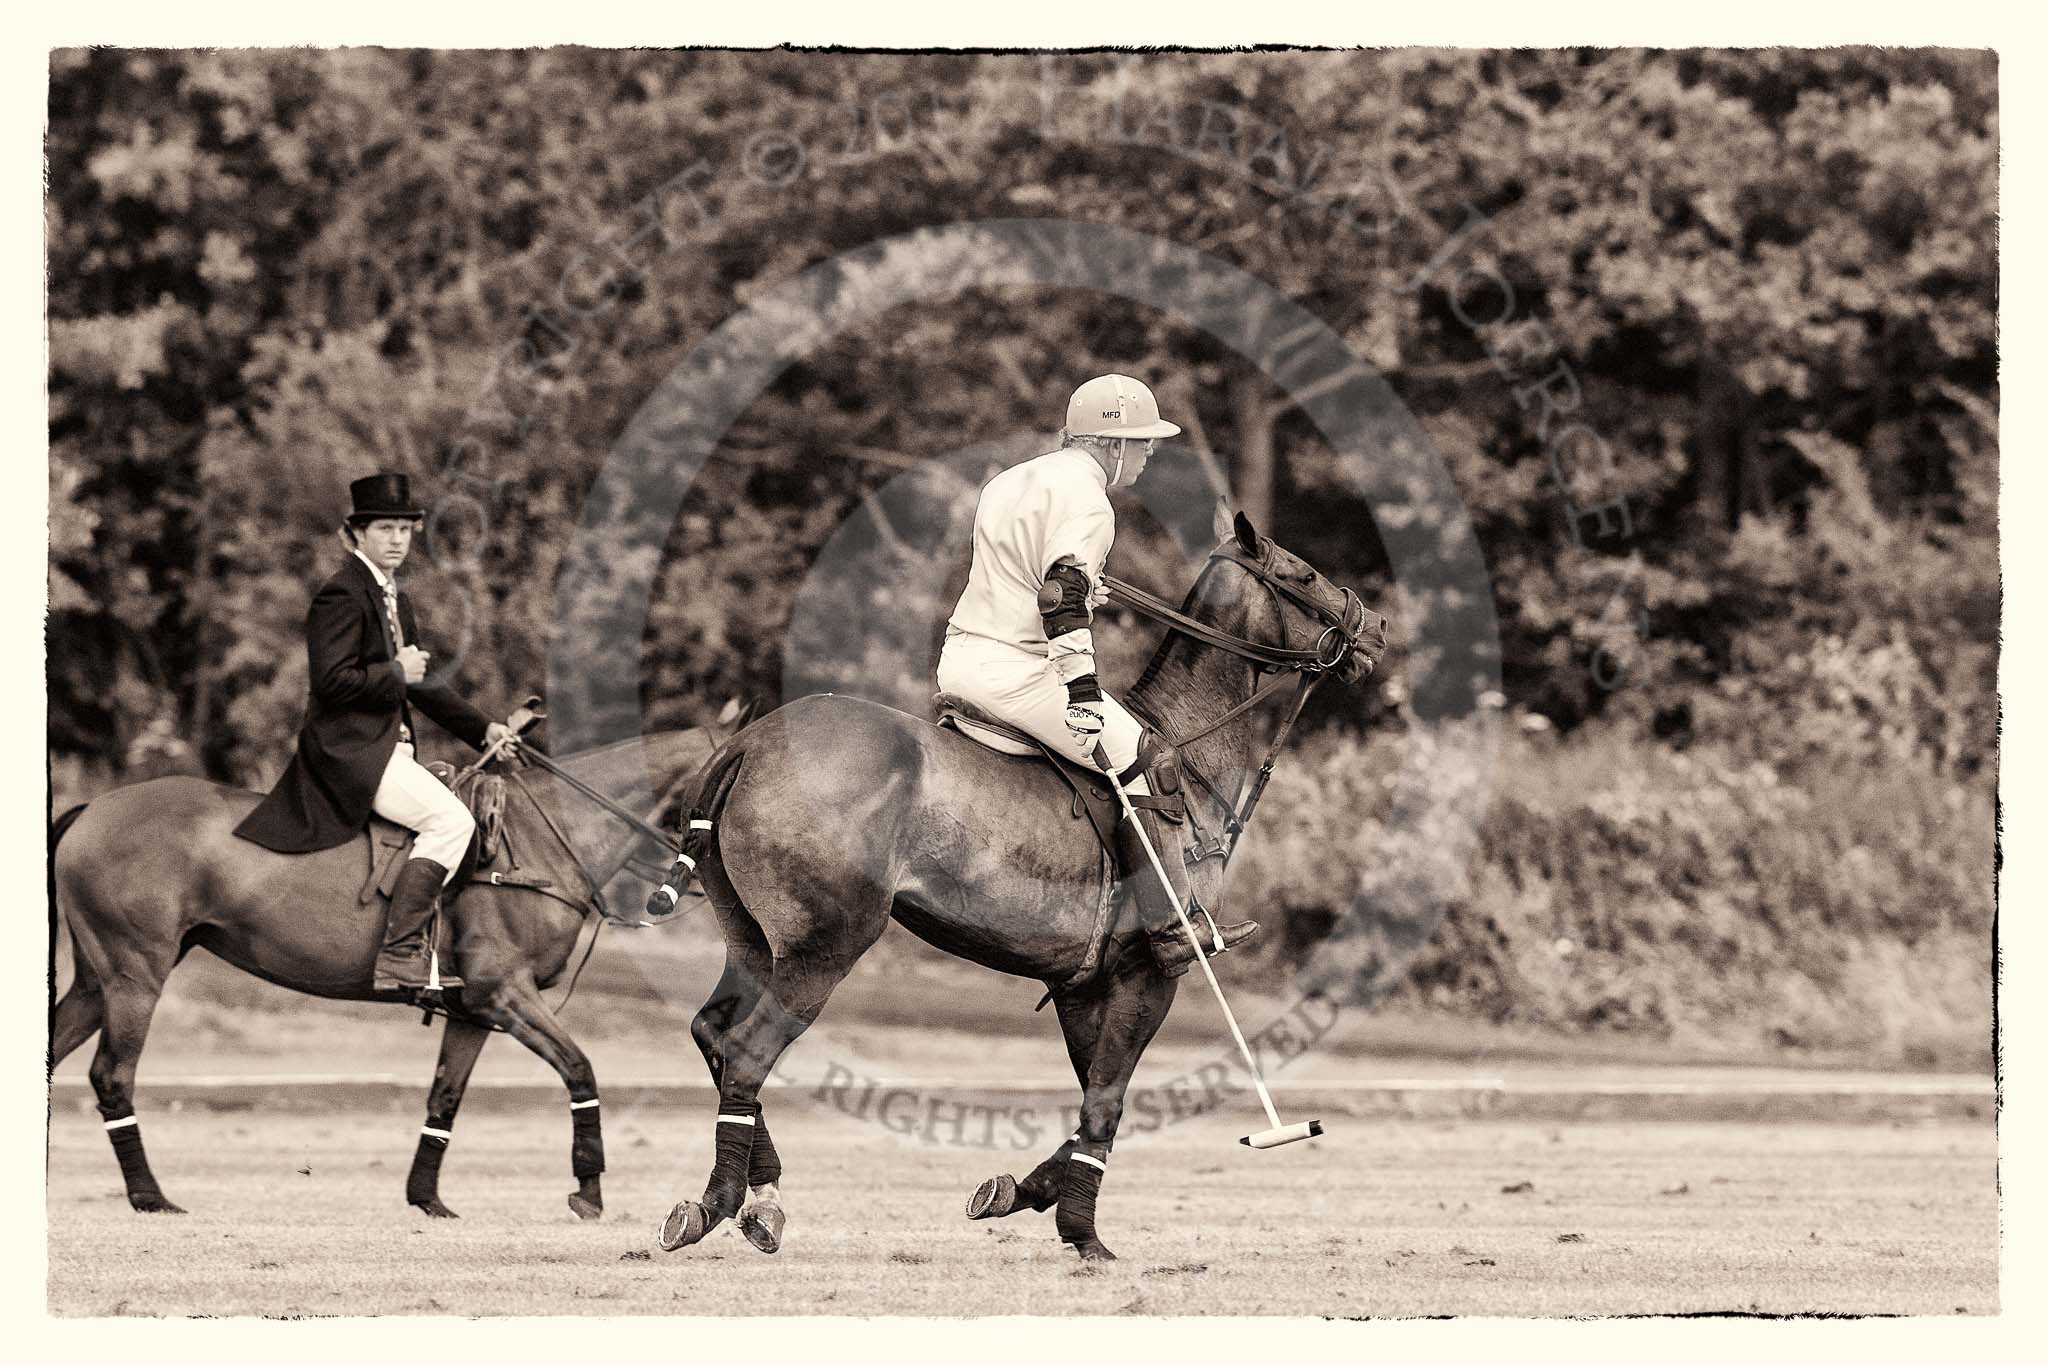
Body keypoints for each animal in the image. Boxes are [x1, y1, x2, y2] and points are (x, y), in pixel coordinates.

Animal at [48, 724, 724, 1219]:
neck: (544, 845)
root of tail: (89, 809)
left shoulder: (475, 1010)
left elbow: (445, 1097)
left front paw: (427, 1200)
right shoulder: (505, 992)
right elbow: (580, 1069)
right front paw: (588, 1189)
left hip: (97, 980)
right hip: (136, 973)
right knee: (113, 1074)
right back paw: (151, 1197)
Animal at [655, 511, 1392, 1260]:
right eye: (1304, 574)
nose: (1376, 631)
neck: (1188, 753)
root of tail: (747, 744)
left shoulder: (1080, 982)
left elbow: (1092, 1094)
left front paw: (1018, 1191)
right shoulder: (1151, 970)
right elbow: (1108, 1099)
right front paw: (1085, 1236)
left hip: (752, 937)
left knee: (713, 1030)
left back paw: (757, 1204)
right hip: (823, 946)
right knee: (748, 1051)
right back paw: (722, 1203)